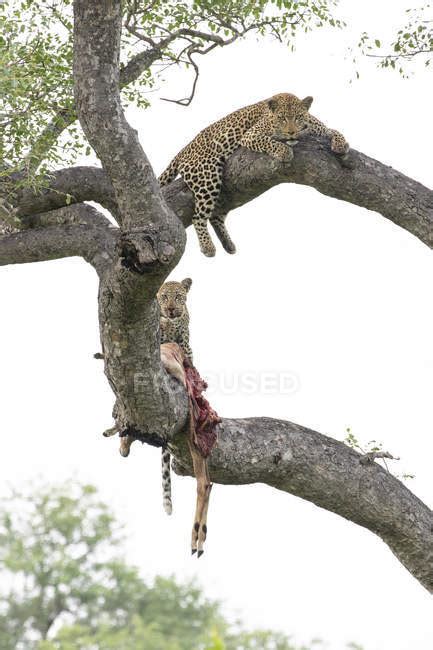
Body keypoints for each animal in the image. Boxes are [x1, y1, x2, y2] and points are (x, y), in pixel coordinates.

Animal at [159, 92, 348, 258]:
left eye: (298, 117)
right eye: (281, 118)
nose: (291, 133)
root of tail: (182, 151)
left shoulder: (319, 128)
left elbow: (333, 130)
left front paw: (341, 144)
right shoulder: (251, 135)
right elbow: (270, 142)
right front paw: (285, 151)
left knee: (215, 216)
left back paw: (227, 243)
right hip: (208, 176)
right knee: (198, 216)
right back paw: (207, 247)